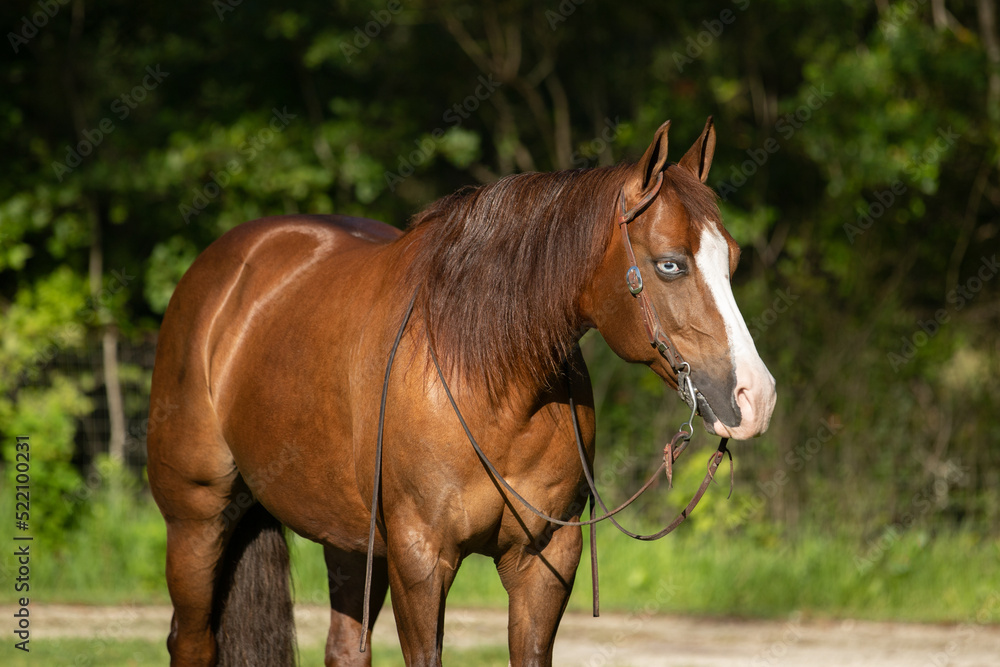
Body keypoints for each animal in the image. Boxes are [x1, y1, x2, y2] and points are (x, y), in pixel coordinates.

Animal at [146, 117, 772, 664]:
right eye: (669, 265)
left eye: (734, 259)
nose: (755, 397)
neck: (492, 386)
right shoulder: (421, 559)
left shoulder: (544, 560)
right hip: (196, 520)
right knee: (191, 640)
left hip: (350, 543)